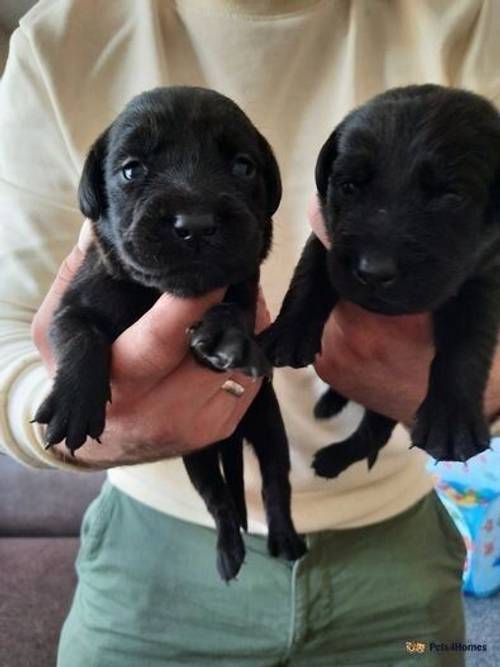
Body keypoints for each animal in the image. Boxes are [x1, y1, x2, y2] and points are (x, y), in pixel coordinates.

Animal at [34, 87, 304, 580]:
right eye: (131, 169)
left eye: (243, 167)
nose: (195, 223)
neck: (160, 292)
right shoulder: (76, 301)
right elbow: (80, 335)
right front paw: (73, 403)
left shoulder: (243, 281)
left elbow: (235, 304)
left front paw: (226, 337)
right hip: (195, 453)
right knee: (218, 500)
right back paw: (228, 551)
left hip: (268, 425)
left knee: (276, 482)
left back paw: (284, 538)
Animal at [260, 83, 500, 480]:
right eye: (349, 186)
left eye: (451, 196)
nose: (372, 272)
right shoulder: (328, 239)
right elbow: (308, 277)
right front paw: (288, 332)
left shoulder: (483, 279)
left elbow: (467, 345)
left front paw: (451, 420)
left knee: (375, 431)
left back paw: (333, 458)